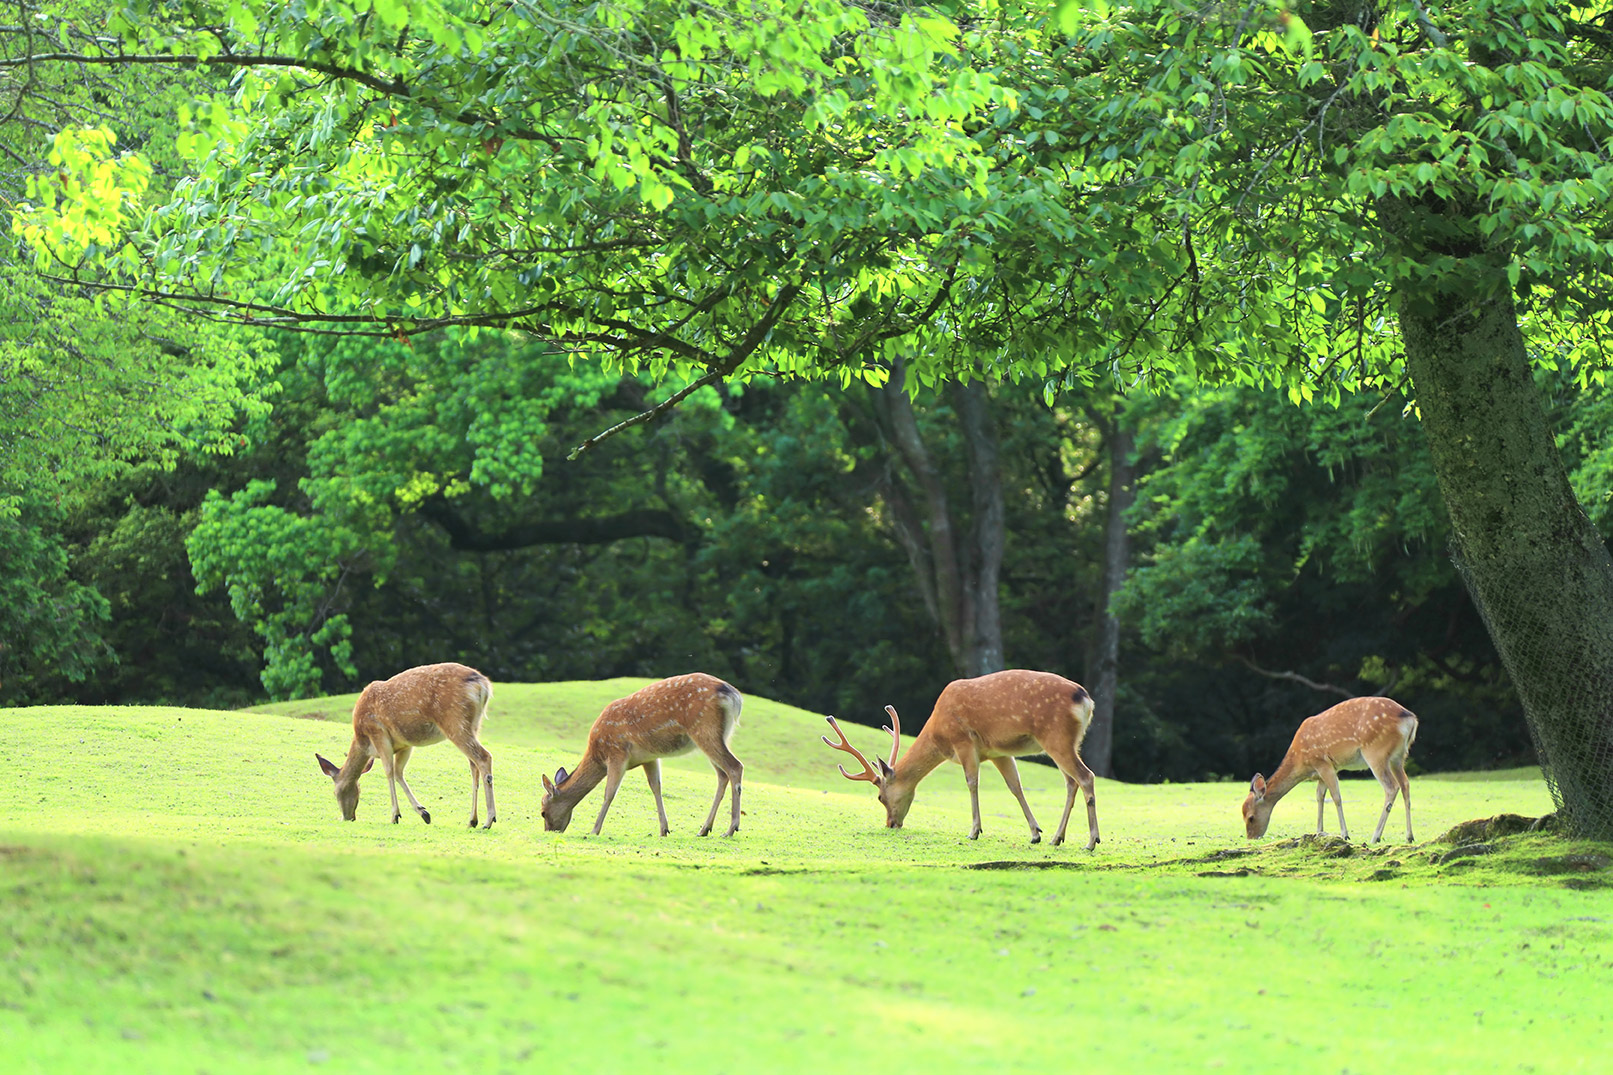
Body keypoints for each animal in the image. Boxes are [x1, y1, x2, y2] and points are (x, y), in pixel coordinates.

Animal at [311, 658, 493, 823]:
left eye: (336, 792)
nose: (348, 817)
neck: (363, 742)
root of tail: (483, 684)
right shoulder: (405, 744)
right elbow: (399, 772)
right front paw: (423, 813)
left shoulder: (378, 733)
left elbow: (388, 771)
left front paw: (395, 815)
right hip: (474, 725)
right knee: (473, 765)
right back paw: (472, 820)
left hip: (455, 722)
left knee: (484, 757)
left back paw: (489, 819)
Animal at [538, 671, 745, 839]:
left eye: (542, 812)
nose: (550, 831)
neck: (598, 754)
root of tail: (734, 696)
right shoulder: (649, 757)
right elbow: (656, 787)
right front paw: (664, 830)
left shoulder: (617, 753)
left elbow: (609, 793)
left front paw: (594, 830)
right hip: (720, 735)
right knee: (722, 775)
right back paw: (704, 829)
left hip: (704, 729)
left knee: (735, 766)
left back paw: (731, 829)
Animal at [825, 671, 1103, 845]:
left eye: (880, 797)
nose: (890, 824)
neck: (938, 734)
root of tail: (1086, 699)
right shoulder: (999, 752)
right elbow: (1015, 786)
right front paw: (1035, 833)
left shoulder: (964, 742)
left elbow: (971, 783)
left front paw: (974, 831)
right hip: (1067, 742)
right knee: (1071, 782)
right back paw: (1057, 838)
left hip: (1056, 737)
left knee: (1085, 776)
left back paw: (1091, 841)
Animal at [1238, 690, 1419, 839]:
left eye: (1251, 817)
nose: (1251, 838)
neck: (1301, 762)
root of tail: (1410, 718)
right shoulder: (1324, 771)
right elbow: (1319, 796)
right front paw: (1319, 831)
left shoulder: (1322, 762)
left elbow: (1336, 797)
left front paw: (1345, 834)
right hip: (1399, 756)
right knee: (1405, 785)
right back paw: (1409, 836)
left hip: (1376, 752)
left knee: (1391, 787)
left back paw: (1376, 836)